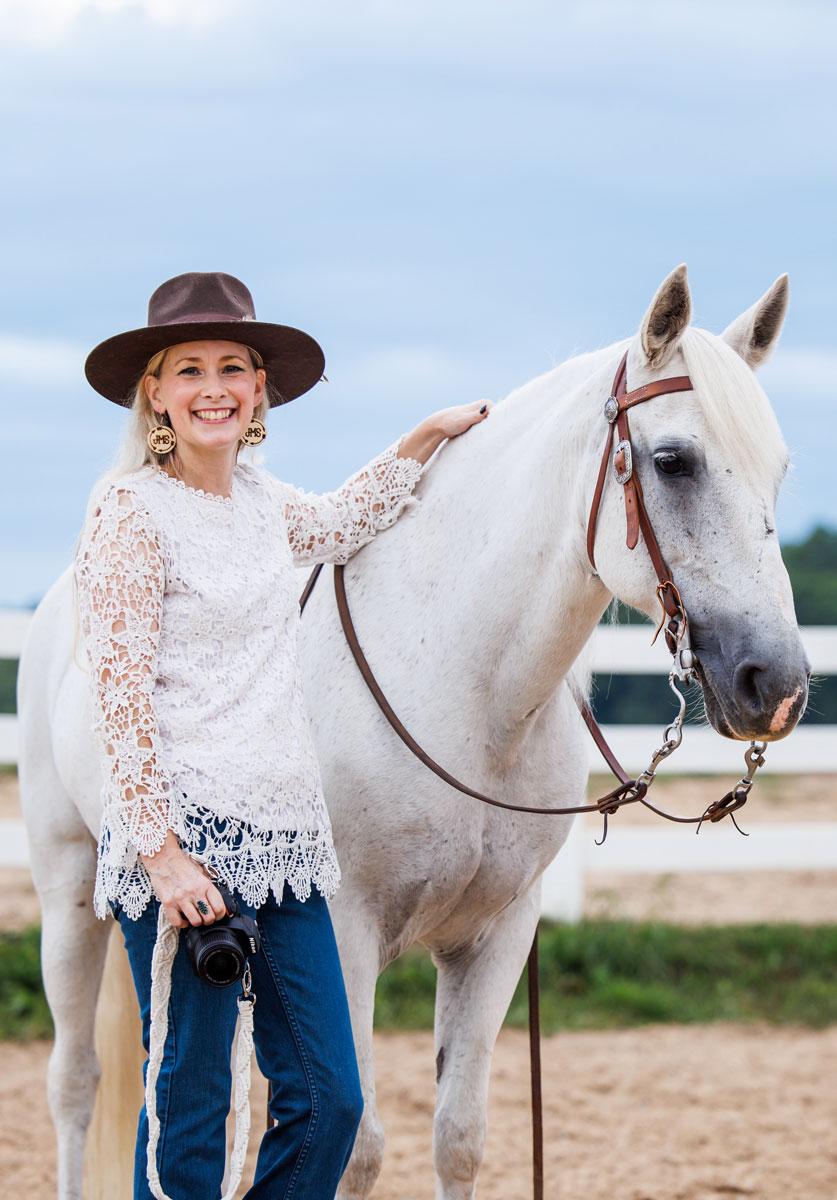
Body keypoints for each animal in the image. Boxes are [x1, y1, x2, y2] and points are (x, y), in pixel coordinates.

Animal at [16, 267, 805, 1195]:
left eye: (779, 470)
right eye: (673, 461)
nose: (776, 686)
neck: (469, 695)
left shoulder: (496, 938)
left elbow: (457, 1133)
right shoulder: (346, 935)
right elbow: (357, 1147)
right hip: (72, 890)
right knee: (76, 1083)